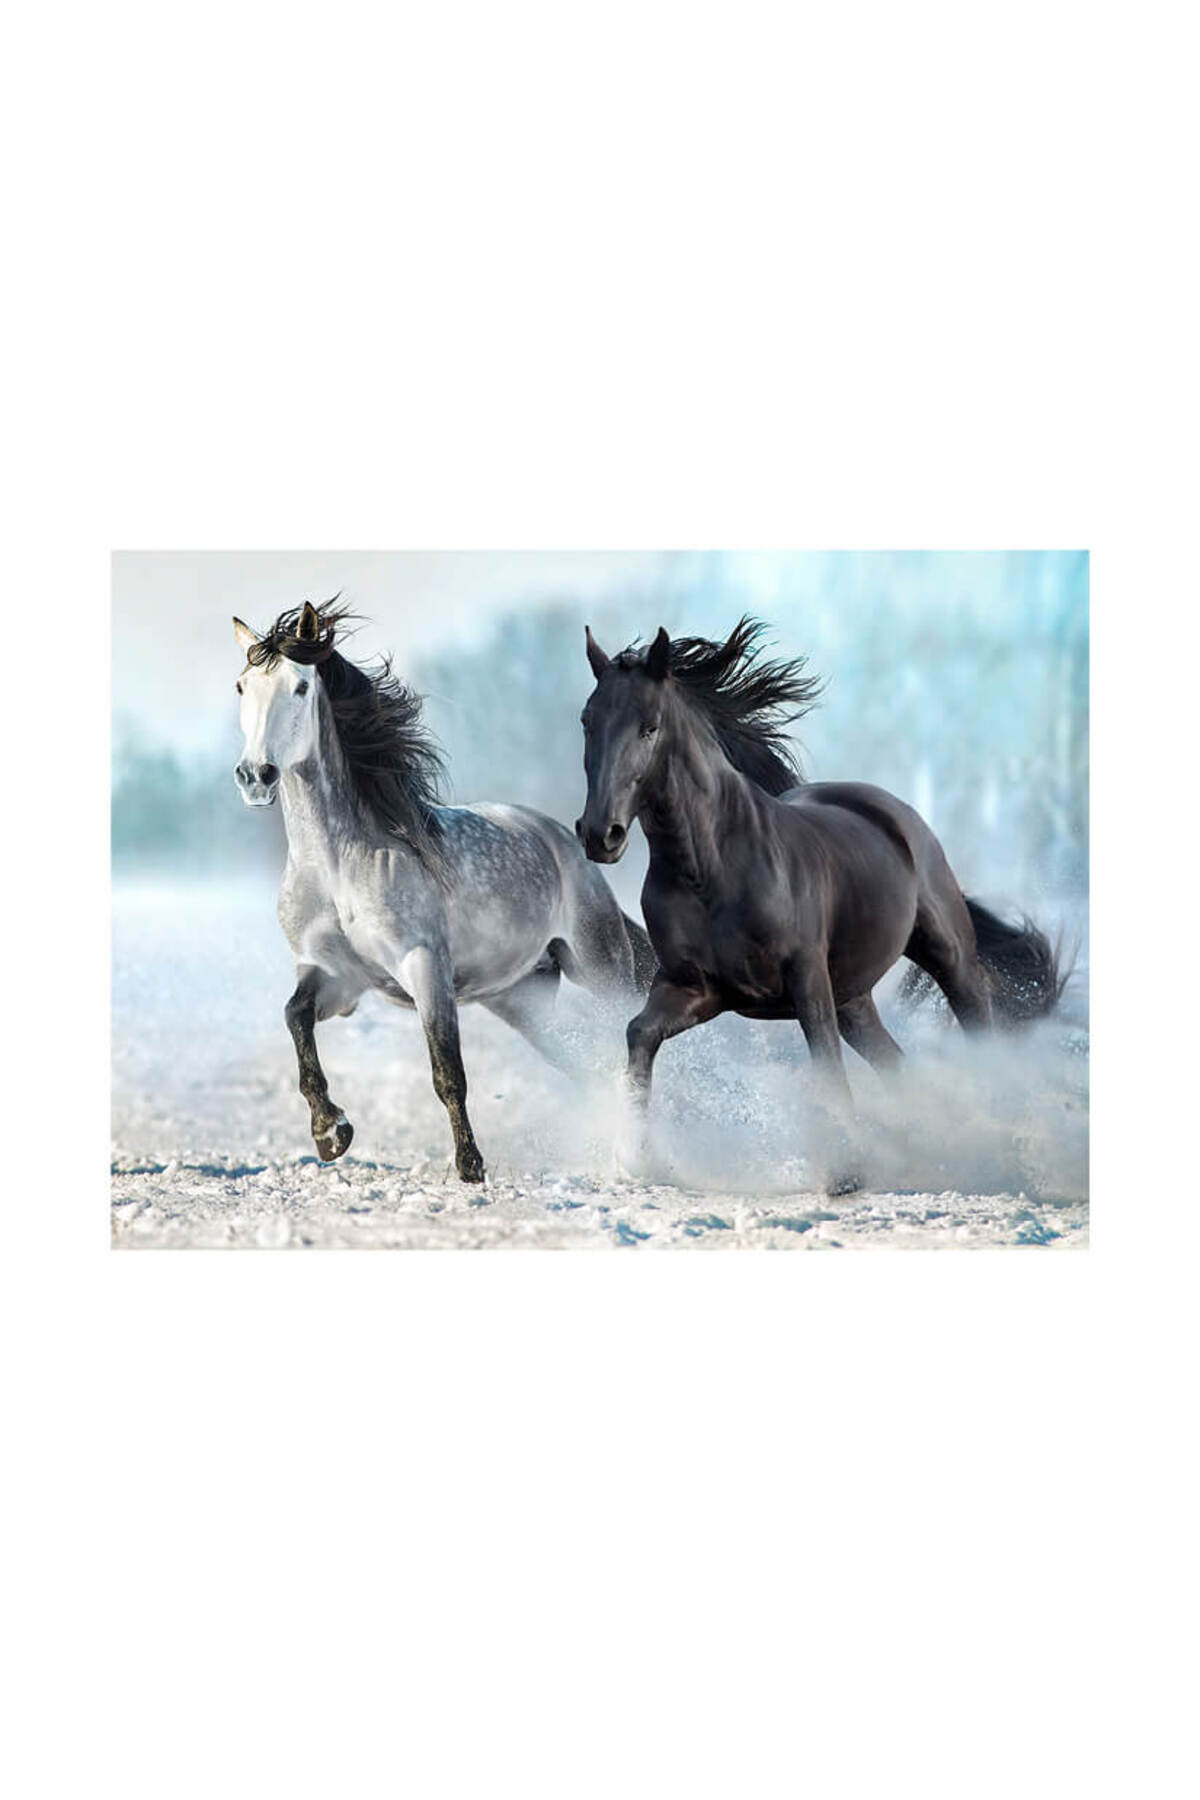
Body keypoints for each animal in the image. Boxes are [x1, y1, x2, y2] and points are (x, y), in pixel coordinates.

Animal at [233, 600, 656, 1181]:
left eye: (299, 686)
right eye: (241, 686)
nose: (256, 775)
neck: (338, 867)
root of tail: (562, 840)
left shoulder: (425, 966)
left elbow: (447, 1071)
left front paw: (470, 1166)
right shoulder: (336, 976)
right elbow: (295, 1018)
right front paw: (331, 1132)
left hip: (600, 966)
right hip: (521, 1000)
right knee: (586, 1062)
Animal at [575, 616, 1063, 1191]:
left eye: (649, 727)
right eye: (587, 721)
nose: (600, 835)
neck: (710, 870)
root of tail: (896, 813)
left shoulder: (806, 980)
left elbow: (825, 1064)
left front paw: (845, 1173)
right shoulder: (695, 988)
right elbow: (639, 1034)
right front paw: (637, 1157)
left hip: (948, 956)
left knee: (978, 1029)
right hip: (854, 998)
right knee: (896, 1064)